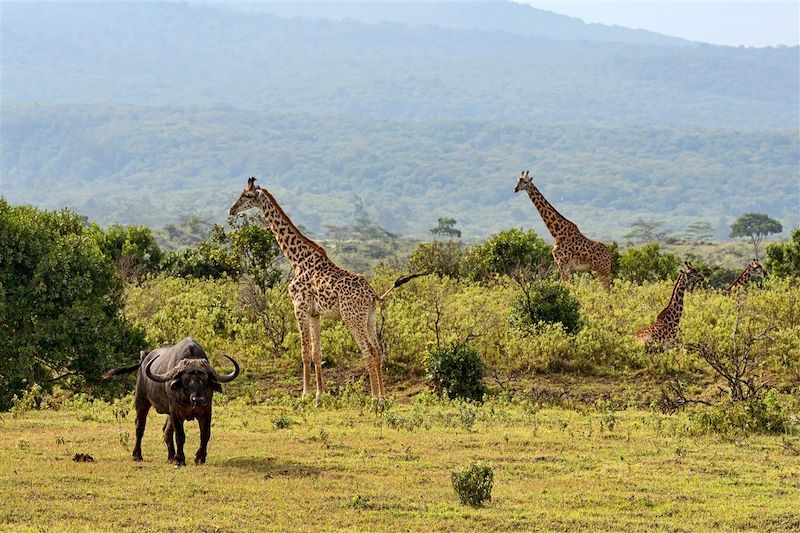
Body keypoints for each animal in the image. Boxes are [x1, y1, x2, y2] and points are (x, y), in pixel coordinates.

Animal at [104, 336, 241, 466]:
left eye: (205, 379)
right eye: (186, 379)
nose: (198, 399)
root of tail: (143, 361)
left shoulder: (206, 410)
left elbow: (205, 434)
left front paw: (199, 458)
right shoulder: (176, 411)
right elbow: (180, 435)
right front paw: (180, 459)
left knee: (166, 430)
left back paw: (171, 457)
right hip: (141, 400)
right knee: (140, 426)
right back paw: (137, 455)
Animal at [228, 176, 422, 404]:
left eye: (247, 195)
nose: (231, 209)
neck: (297, 259)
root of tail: (372, 294)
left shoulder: (300, 307)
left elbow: (304, 352)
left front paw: (304, 395)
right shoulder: (315, 313)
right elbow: (317, 353)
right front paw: (319, 396)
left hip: (352, 317)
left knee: (367, 351)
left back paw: (375, 399)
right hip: (370, 317)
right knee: (376, 350)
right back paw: (382, 397)